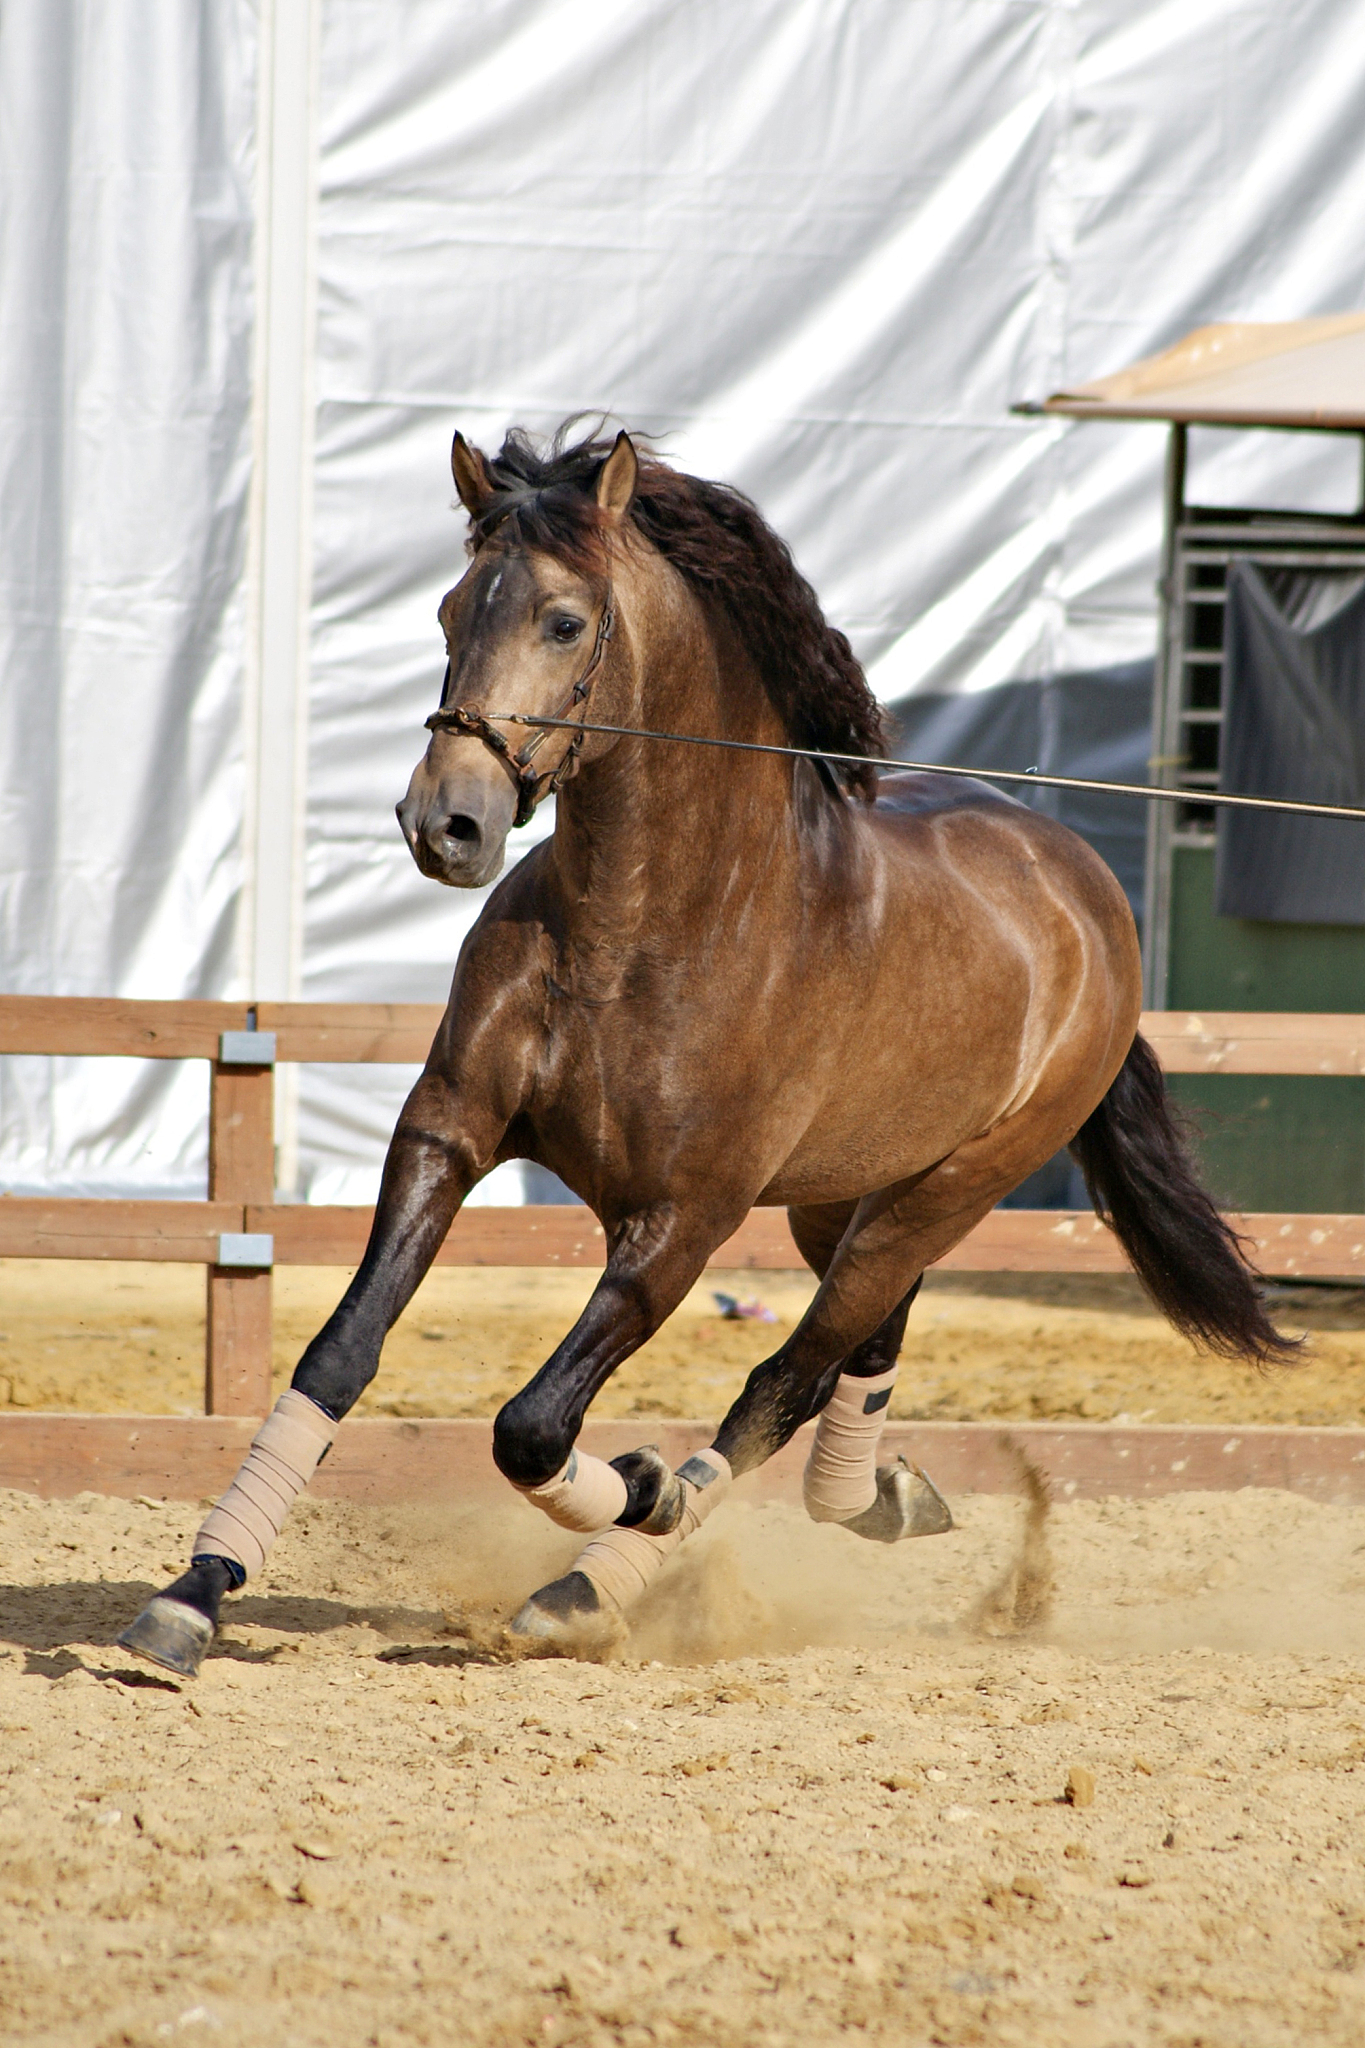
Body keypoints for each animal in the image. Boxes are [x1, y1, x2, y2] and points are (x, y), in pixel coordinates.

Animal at [121, 423, 1291, 1677]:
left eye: (563, 621)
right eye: (447, 611)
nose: (447, 824)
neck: (648, 925)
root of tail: (1085, 885)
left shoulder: (684, 1218)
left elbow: (534, 1426)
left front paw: (640, 1494)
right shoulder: (448, 1129)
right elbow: (342, 1353)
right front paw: (192, 1593)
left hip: (953, 1186)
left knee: (786, 1377)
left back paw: (595, 1579)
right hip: (848, 1194)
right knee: (864, 1337)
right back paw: (880, 1492)